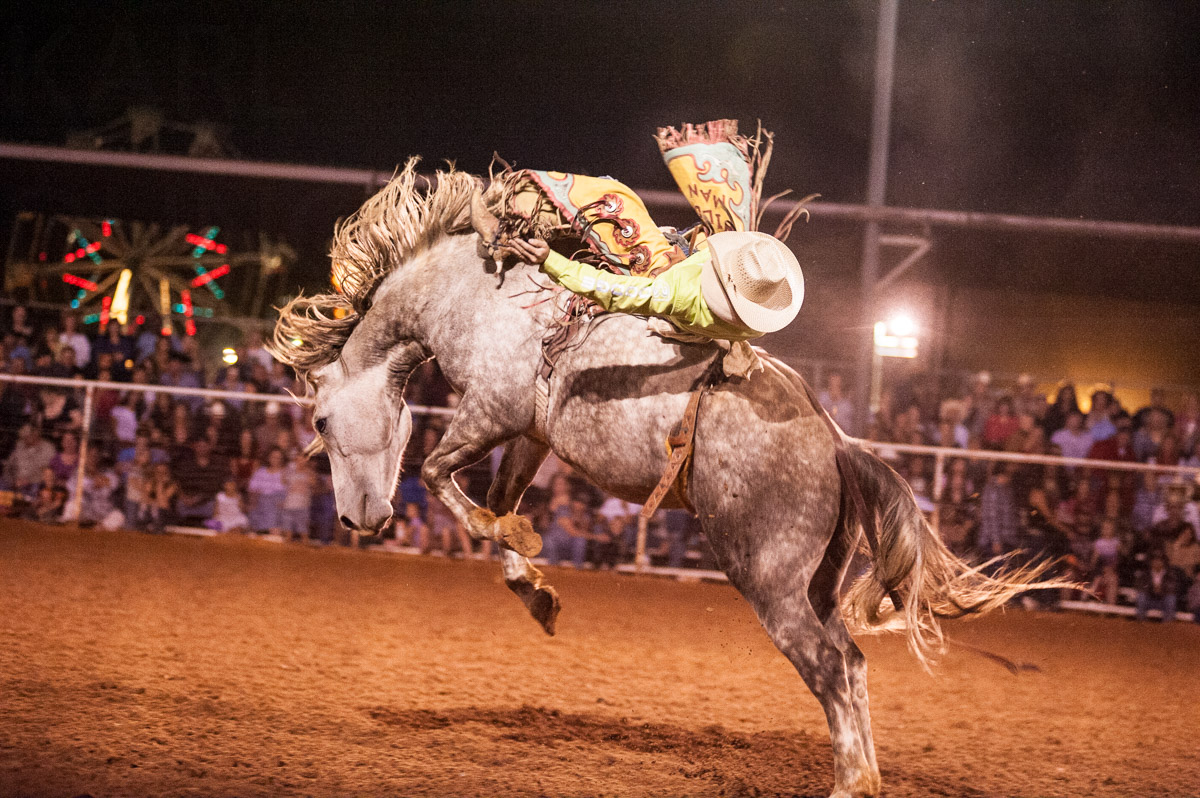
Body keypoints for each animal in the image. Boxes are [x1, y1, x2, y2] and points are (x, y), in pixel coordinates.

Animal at [272, 163, 1060, 796]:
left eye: (319, 421)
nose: (356, 520)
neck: (468, 294)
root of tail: (838, 444)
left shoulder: (492, 408)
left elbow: (440, 474)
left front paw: (517, 541)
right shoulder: (531, 430)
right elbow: (498, 500)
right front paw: (535, 586)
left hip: (769, 579)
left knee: (829, 668)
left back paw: (850, 783)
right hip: (818, 581)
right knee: (854, 663)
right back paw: (863, 773)